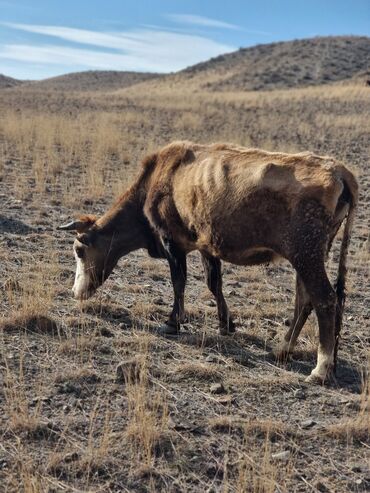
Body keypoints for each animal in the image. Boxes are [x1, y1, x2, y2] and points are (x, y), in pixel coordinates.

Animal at [58, 140, 358, 382]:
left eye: (79, 250)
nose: (75, 292)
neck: (162, 178)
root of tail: (339, 171)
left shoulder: (172, 242)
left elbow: (179, 282)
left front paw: (173, 322)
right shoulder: (207, 245)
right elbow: (214, 283)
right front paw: (226, 324)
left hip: (306, 255)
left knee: (324, 299)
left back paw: (320, 369)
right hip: (308, 257)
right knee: (304, 300)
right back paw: (283, 349)